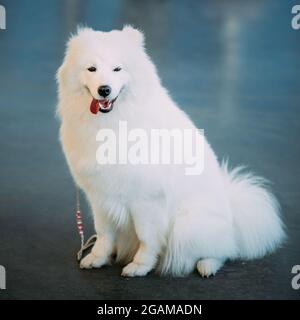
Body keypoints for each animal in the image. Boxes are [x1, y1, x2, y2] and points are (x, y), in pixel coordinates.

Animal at [56, 26, 286, 276]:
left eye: (117, 68)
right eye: (92, 69)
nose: (104, 90)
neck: (111, 123)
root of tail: (233, 215)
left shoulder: (147, 199)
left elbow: (147, 237)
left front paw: (140, 266)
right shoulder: (99, 196)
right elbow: (104, 233)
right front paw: (97, 258)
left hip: (188, 226)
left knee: (224, 251)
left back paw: (207, 265)